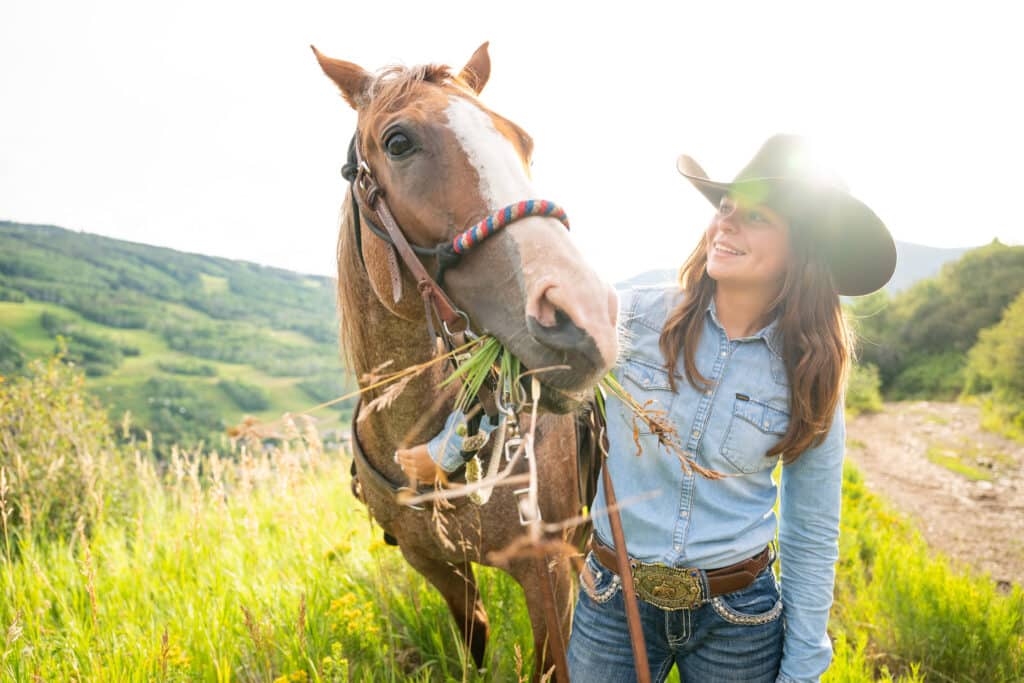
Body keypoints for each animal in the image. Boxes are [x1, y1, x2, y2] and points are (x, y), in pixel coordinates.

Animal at [313, 42, 619, 679]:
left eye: (523, 140)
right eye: (398, 142)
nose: (587, 317)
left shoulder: (545, 575)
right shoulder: (435, 565)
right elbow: (471, 643)